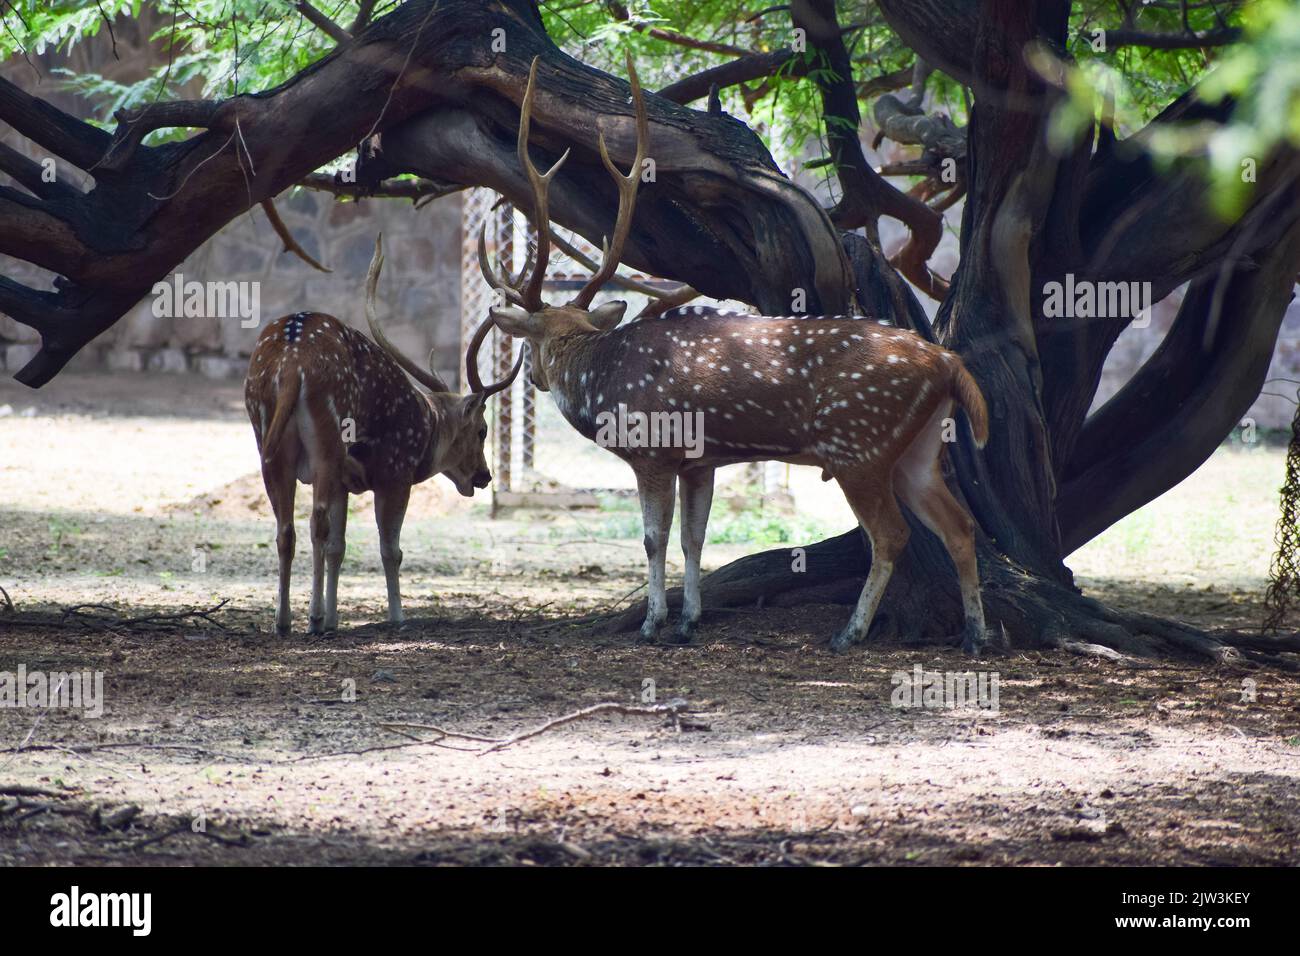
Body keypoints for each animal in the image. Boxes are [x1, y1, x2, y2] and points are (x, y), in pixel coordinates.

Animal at [245, 235, 520, 634]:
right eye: (483, 430)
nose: (484, 476)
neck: (425, 426)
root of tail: (293, 362)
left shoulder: (345, 482)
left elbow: (339, 547)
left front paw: (335, 619)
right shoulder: (394, 473)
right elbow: (391, 549)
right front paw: (396, 616)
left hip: (265, 433)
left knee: (286, 529)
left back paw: (283, 622)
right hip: (328, 437)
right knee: (315, 522)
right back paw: (311, 619)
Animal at [483, 55, 987, 655]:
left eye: (529, 339)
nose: (536, 378)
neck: (601, 379)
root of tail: (947, 362)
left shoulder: (654, 450)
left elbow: (654, 538)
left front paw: (654, 624)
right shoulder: (702, 460)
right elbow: (694, 540)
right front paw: (688, 621)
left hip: (858, 444)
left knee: (892, 534)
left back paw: (850, 632)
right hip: (918, 448)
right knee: (960, 525)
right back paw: (976, 636)